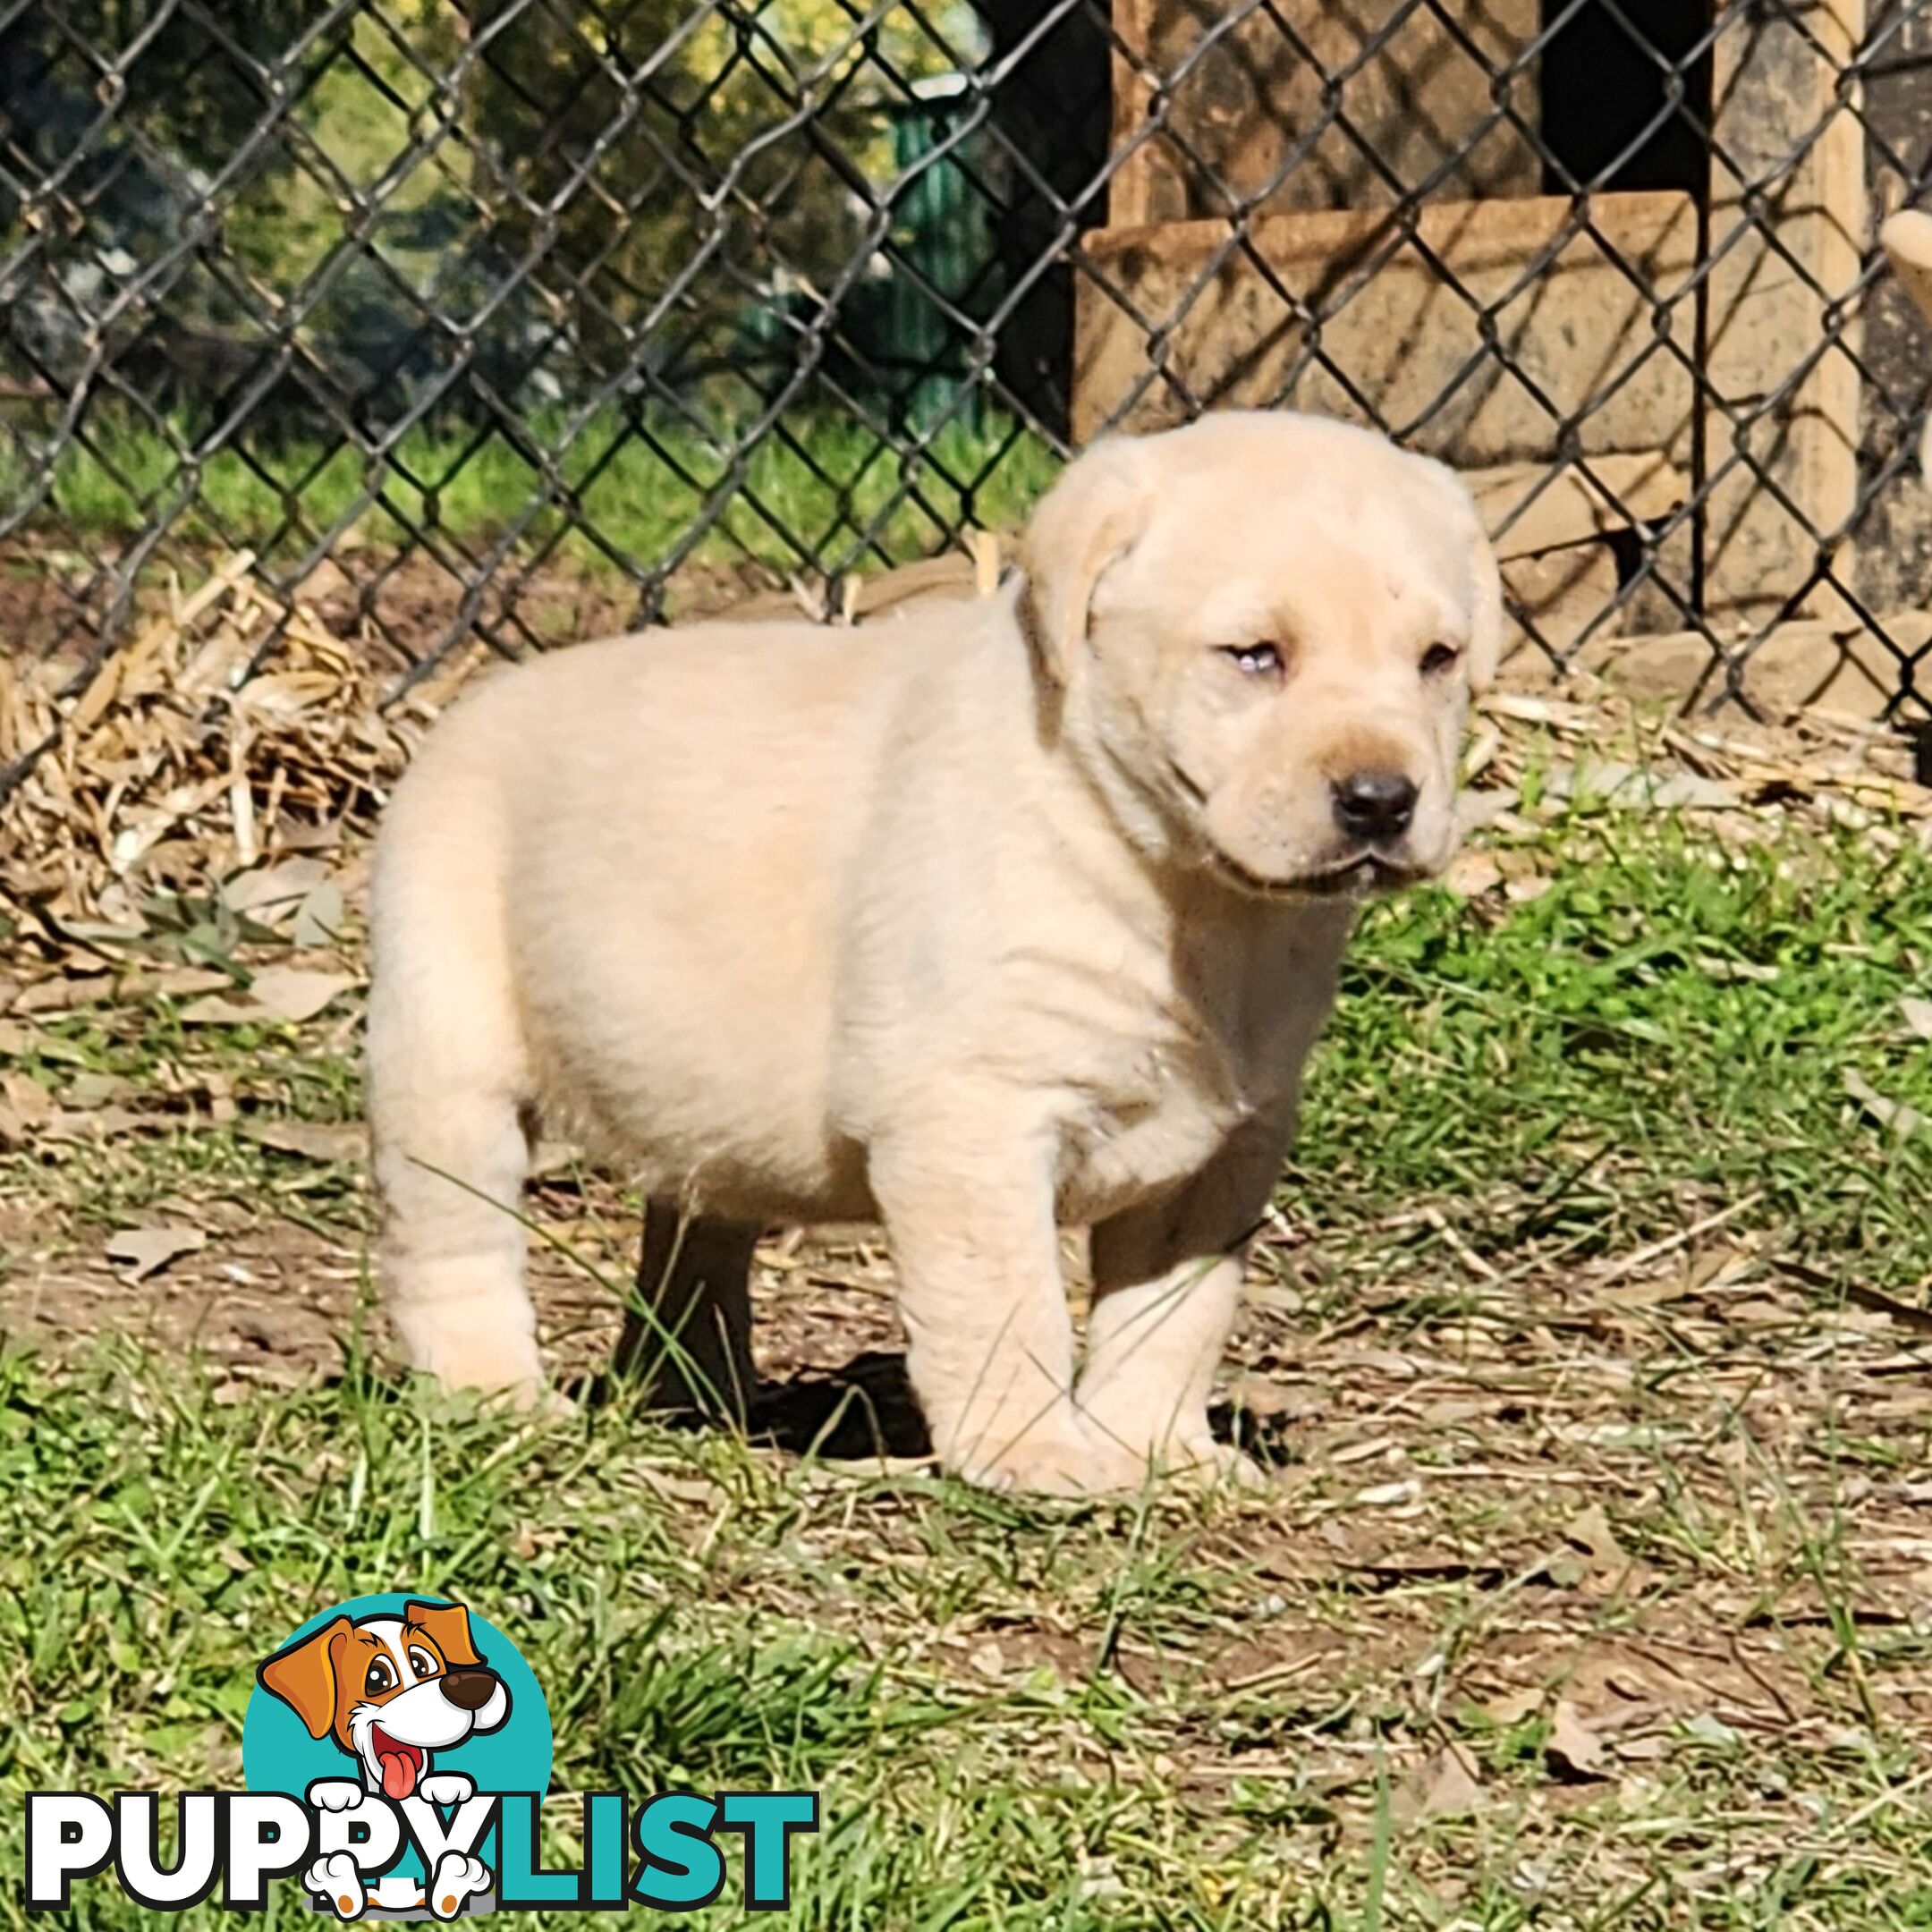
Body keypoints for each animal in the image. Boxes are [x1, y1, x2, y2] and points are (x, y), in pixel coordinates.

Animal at [365, 407, 1506, 1491]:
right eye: (1256, 655)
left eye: (1438, 661)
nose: (1382, 799)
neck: (1186, 893)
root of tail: (463, 709)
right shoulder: (972, 1114)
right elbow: (1008, 1303)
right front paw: (1034, 1454)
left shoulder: (1226, 1146)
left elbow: (1174, 1319)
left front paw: (1158, 1450)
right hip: (445, 1050)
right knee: (455, 1241)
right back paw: (494, 1395)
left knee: (696, 1231)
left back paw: (694, 1390)